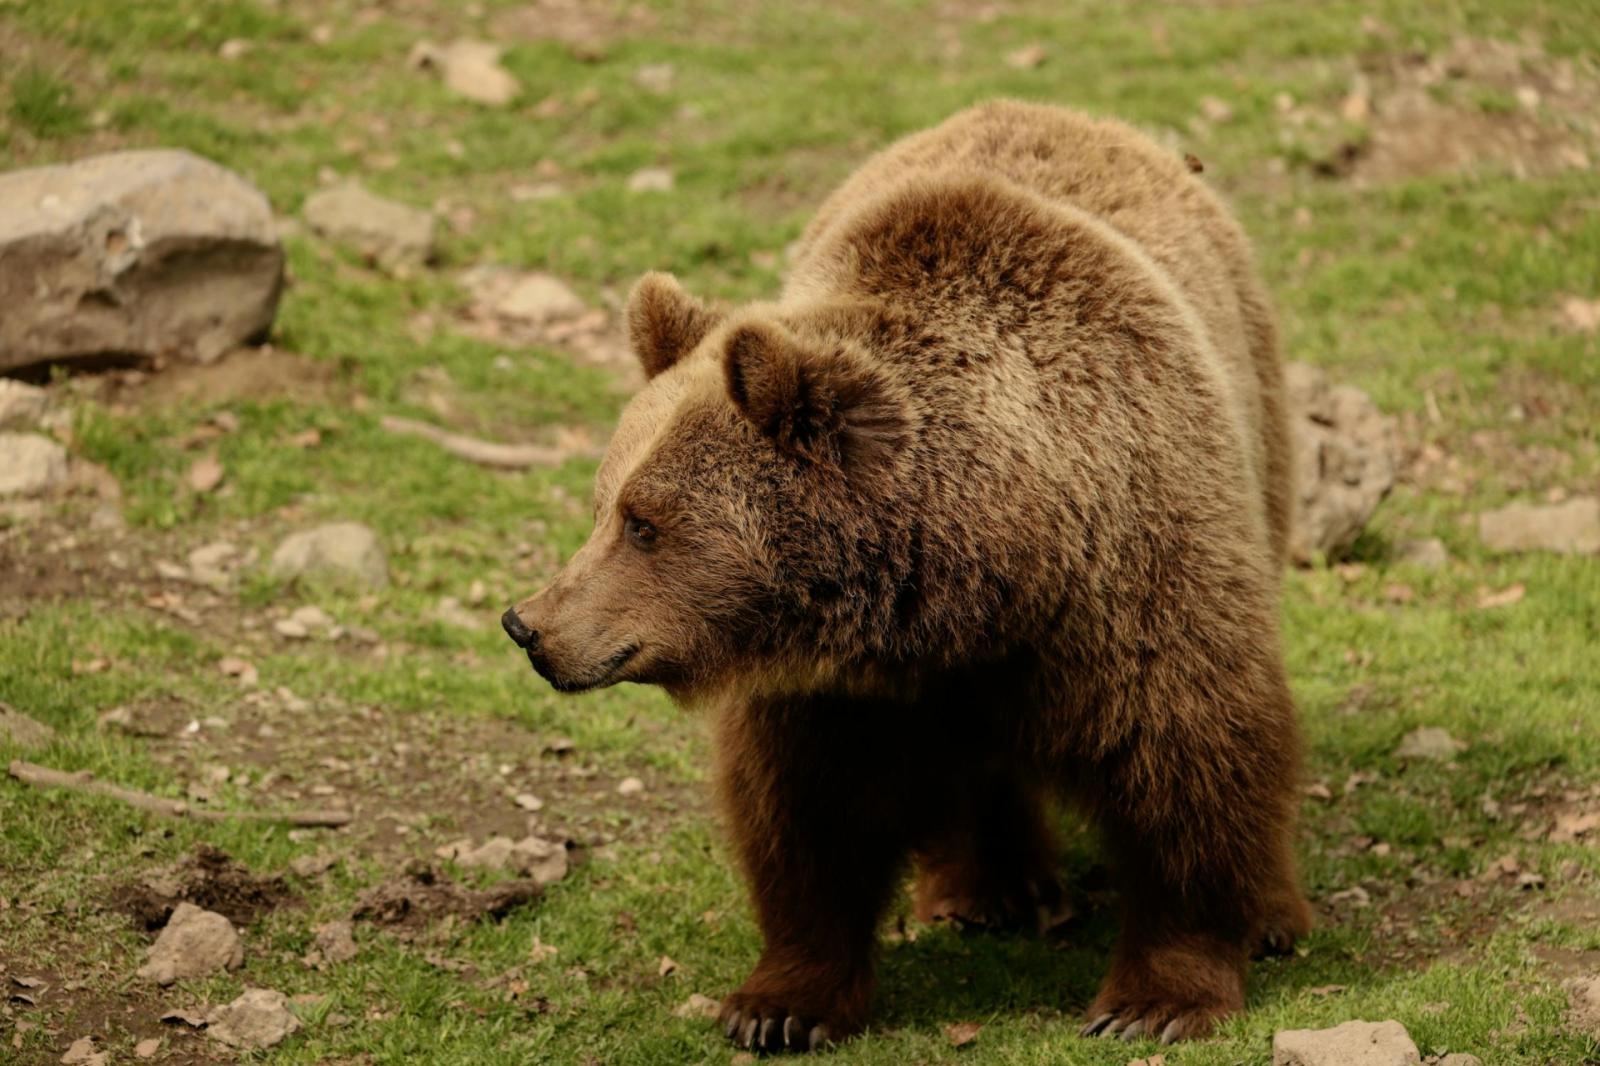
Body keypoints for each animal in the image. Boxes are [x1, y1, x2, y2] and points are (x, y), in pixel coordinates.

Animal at [502, 99, 1311, 1051]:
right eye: (604, 505)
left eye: (644, 524)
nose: (531, 624)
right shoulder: (831, 689)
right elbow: (805, 815)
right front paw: (779, 1004)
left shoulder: (1129, 577)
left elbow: (1186, 754)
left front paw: (1157, 998)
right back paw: (986, 887)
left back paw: (1273, 912)